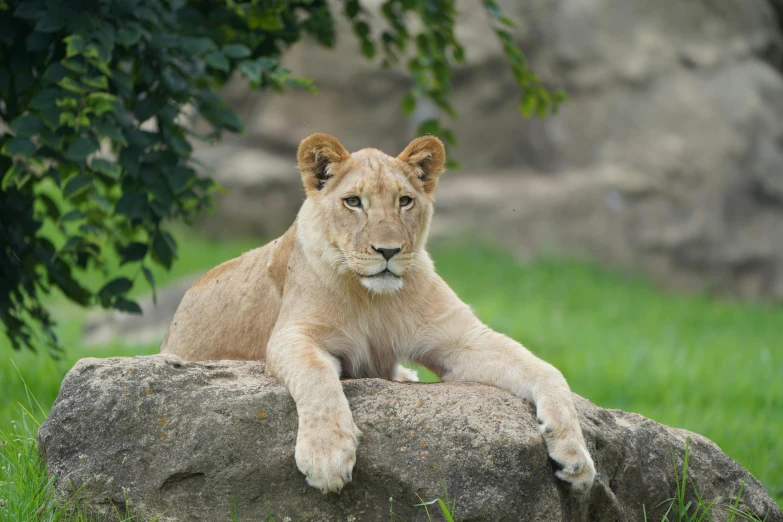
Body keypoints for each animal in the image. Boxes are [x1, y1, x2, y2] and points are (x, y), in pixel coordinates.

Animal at [162, 133, 596, 492]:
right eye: (354, 201)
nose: (388, 251)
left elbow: (545, 369)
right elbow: (317, 377)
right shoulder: (291, 334)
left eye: (405, 201)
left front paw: (575, 456)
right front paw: (326, 455)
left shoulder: (461, 337)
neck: (375, 300)